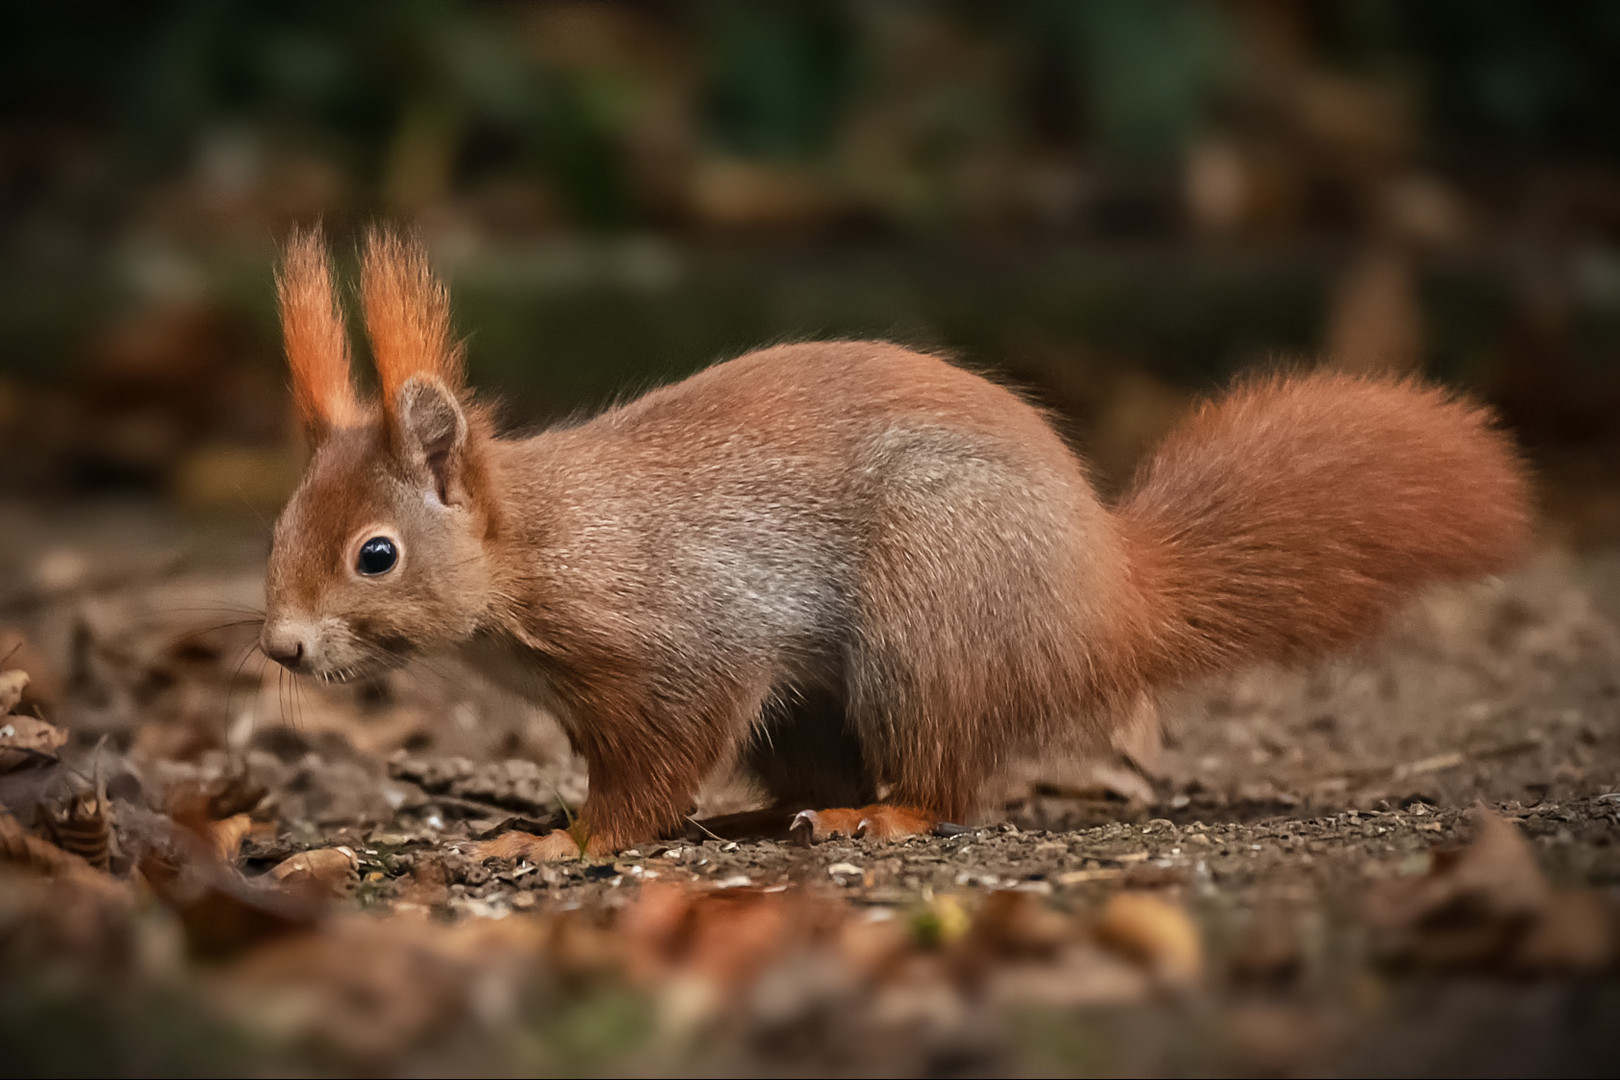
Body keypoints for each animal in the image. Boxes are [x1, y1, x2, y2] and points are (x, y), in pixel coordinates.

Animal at [262, 229, 1529, 861]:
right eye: (276, 528)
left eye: (376, 555)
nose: (279, 649)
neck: (529, 548)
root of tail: (1106, 599)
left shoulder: (675, 636)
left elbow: (653, 761)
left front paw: (561, 842)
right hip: (820, 700)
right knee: (822, 769)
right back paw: (763, 816)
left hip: (930, 626)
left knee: (944, 782)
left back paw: (883, 818)